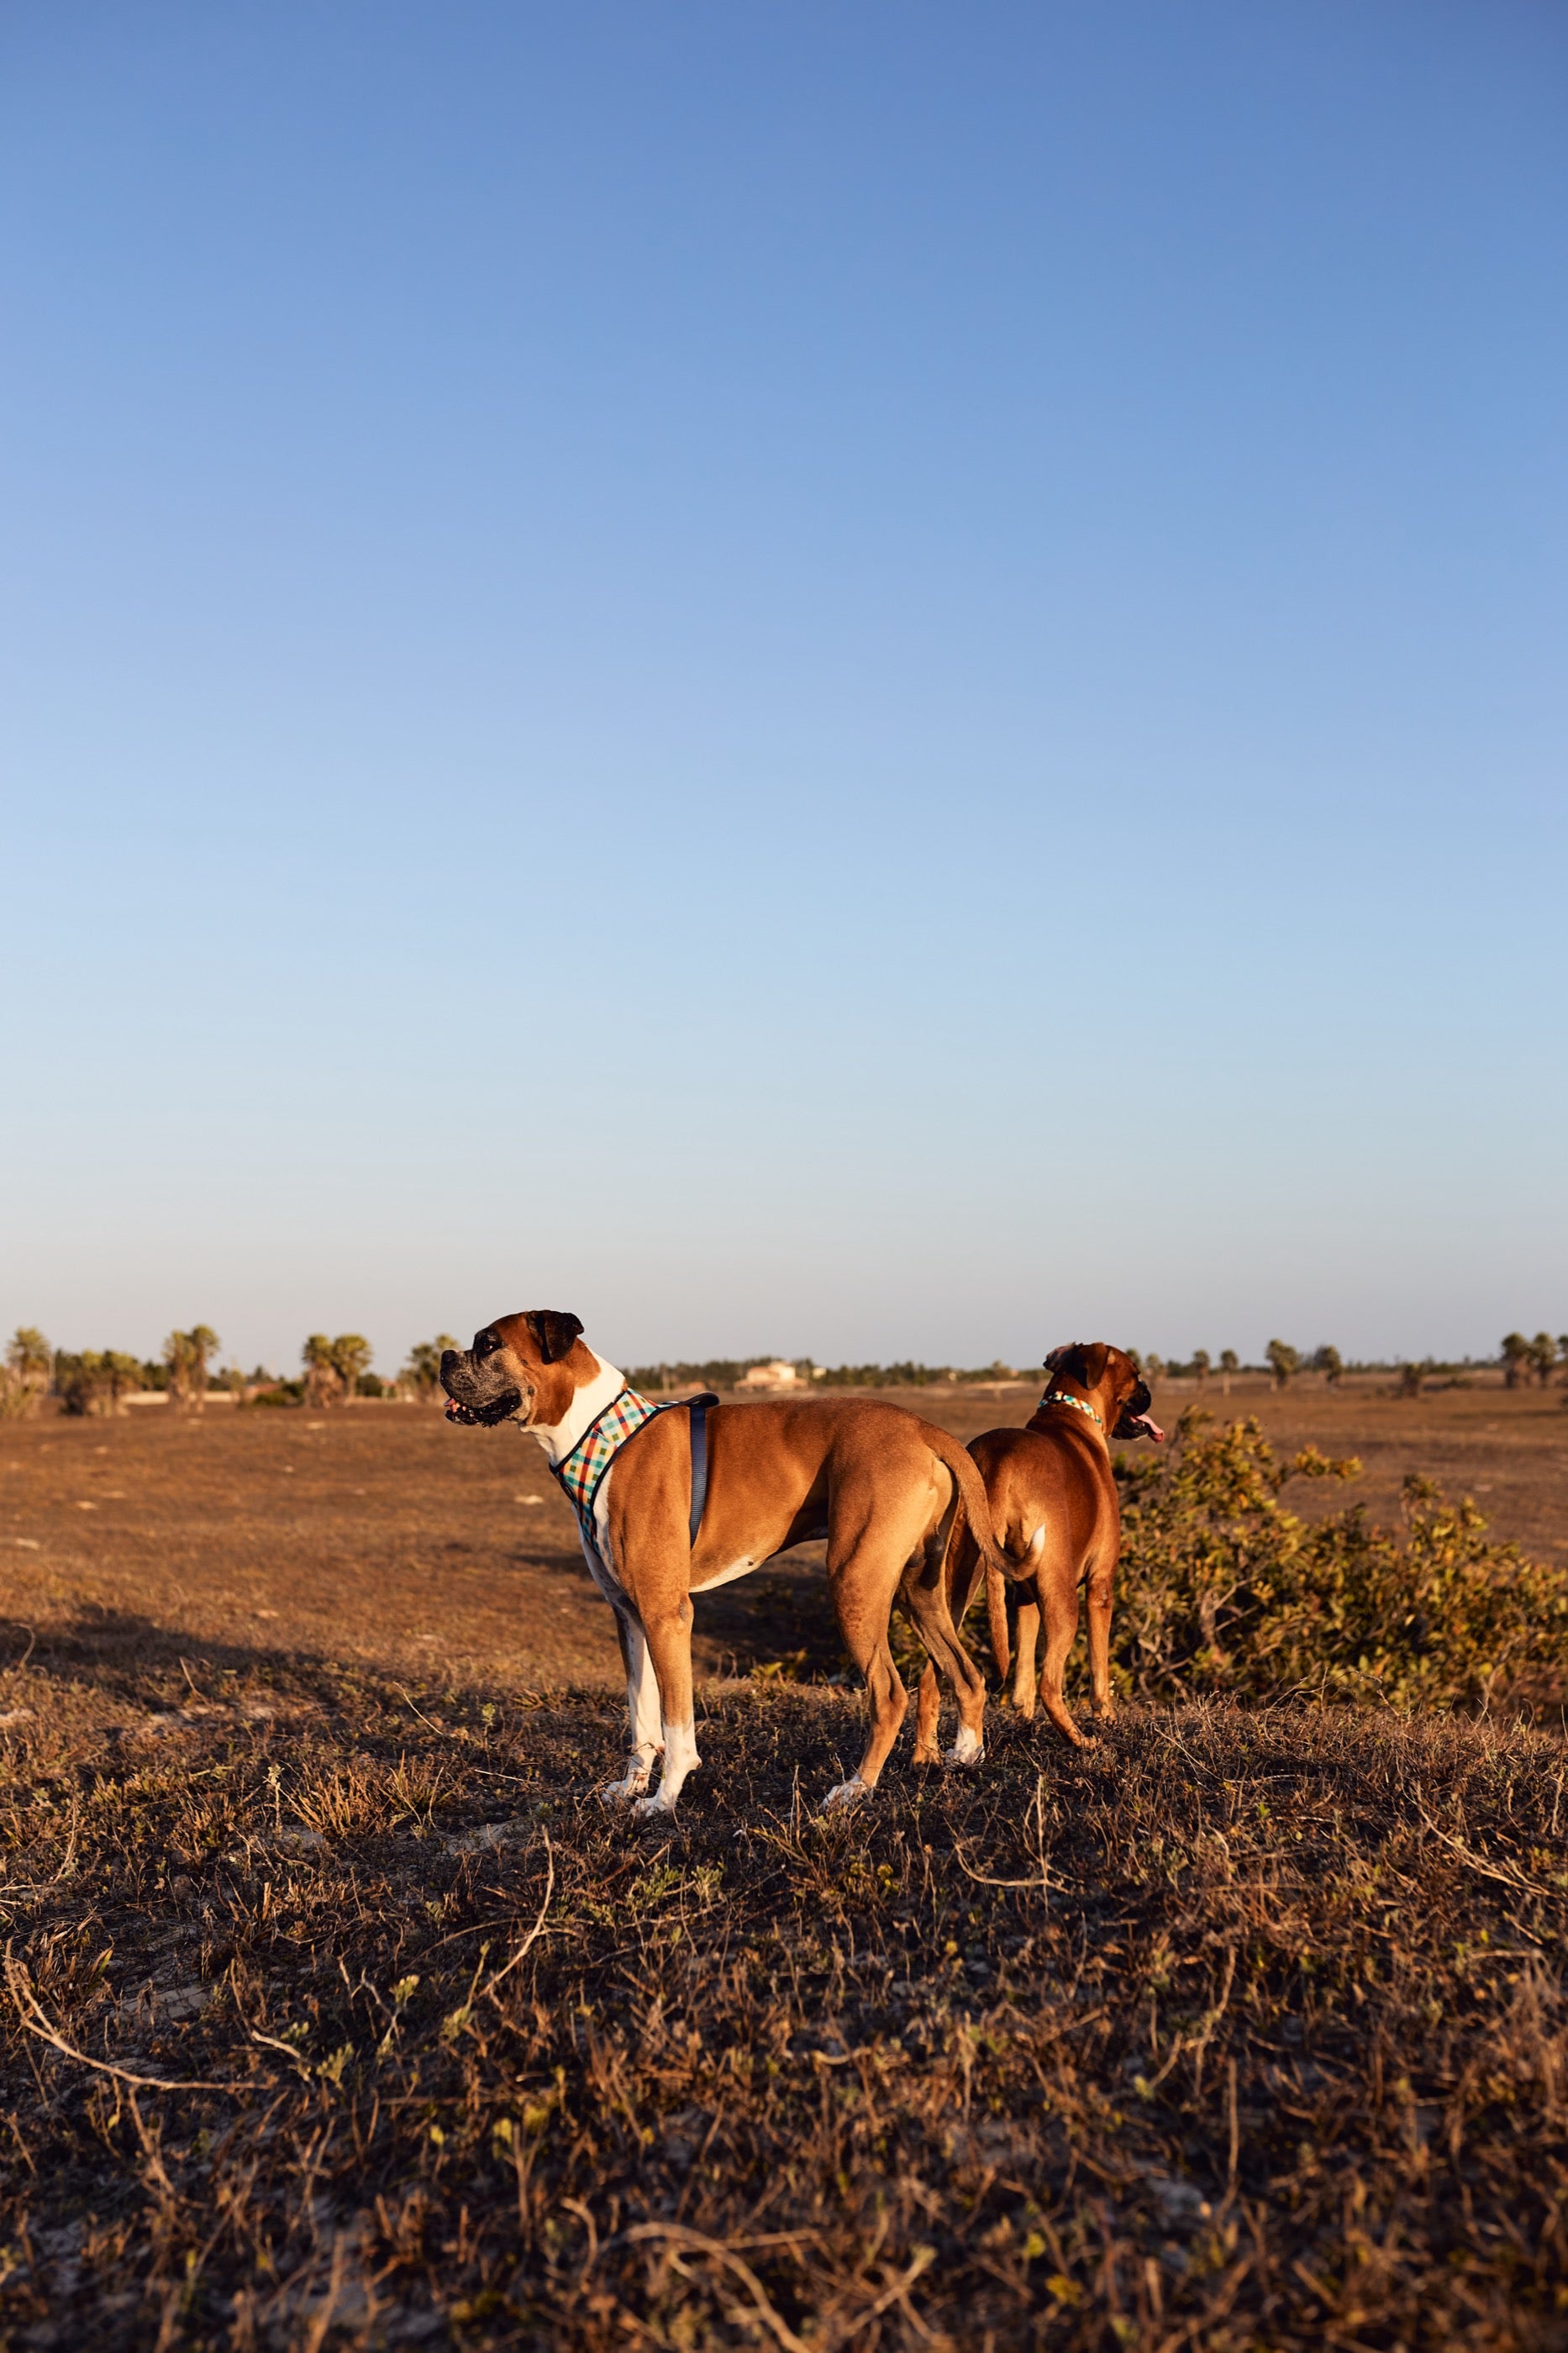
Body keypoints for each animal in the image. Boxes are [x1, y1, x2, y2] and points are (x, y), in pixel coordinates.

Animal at [435, 1318, 1012, 1807]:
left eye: (489, 1343)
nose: (443, 1355)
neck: (598, 1433)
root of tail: (922, 1428)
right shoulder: (631, 1617)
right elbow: (641, 1717)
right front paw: (631, 1789)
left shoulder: (667, 1616)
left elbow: (674, 1723)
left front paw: (663, 1800)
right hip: (919, 1591)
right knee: (967, 1674)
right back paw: (964, 1757)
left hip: (855, 1582)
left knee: (889, 1694)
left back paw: (855, 1790)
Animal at [903, 1345, 1158, 1750]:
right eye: (1135, 1374)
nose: (1149, 1391)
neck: (1071, 1411)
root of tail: (998, 1460)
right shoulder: (1099, 1586)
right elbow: (1098, 1666)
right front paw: (1106, 1716)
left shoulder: (1023, 1597)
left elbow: (1022, 1670)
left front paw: (1023, 1718)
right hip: (1063, 1599)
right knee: (1051, 1684)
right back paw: (1081, 1741)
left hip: (955, 1589)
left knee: (933, 1677)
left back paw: (927, 1755)